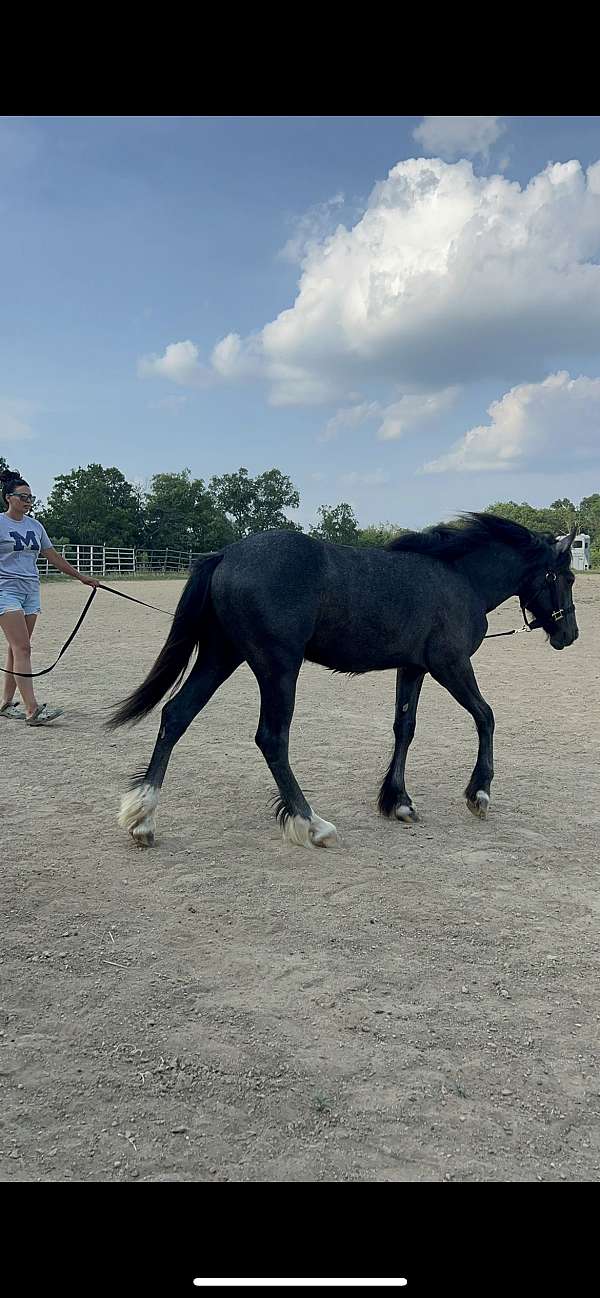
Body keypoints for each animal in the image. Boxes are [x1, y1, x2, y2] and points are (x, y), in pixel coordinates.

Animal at [110, 516, 579, 851]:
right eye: (567, 577)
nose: (569, 634)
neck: (457, 578)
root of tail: (226, 554)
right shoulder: (451, 665)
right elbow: (486, 716)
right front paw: (479, 793)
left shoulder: (412, 669)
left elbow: (405, 729)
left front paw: (398, 802)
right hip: (277, 666)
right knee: (271, 738)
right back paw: (311, 823)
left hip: (220, 656)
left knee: (176, 715)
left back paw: (143, 817)